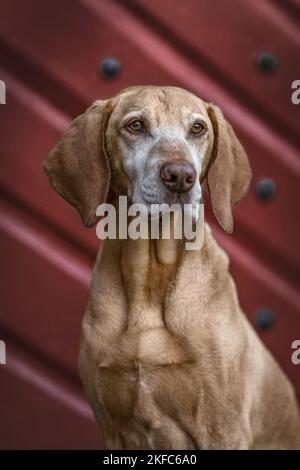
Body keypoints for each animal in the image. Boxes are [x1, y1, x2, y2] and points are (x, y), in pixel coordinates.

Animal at [44, 85, 300, 452]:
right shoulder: (113, 428)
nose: (180, 176)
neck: (150, 273)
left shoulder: (222, 430)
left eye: (197, 128)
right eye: (135, 125)